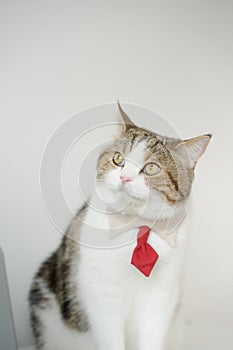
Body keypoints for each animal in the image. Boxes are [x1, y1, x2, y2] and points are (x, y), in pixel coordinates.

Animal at [29, 102, 211, 350]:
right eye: (118, 159)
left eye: (151, 168)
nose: (124, 177)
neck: (138, 229)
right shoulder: (103, 291)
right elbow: (110, 335)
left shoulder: (164, 290)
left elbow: (154, 332)